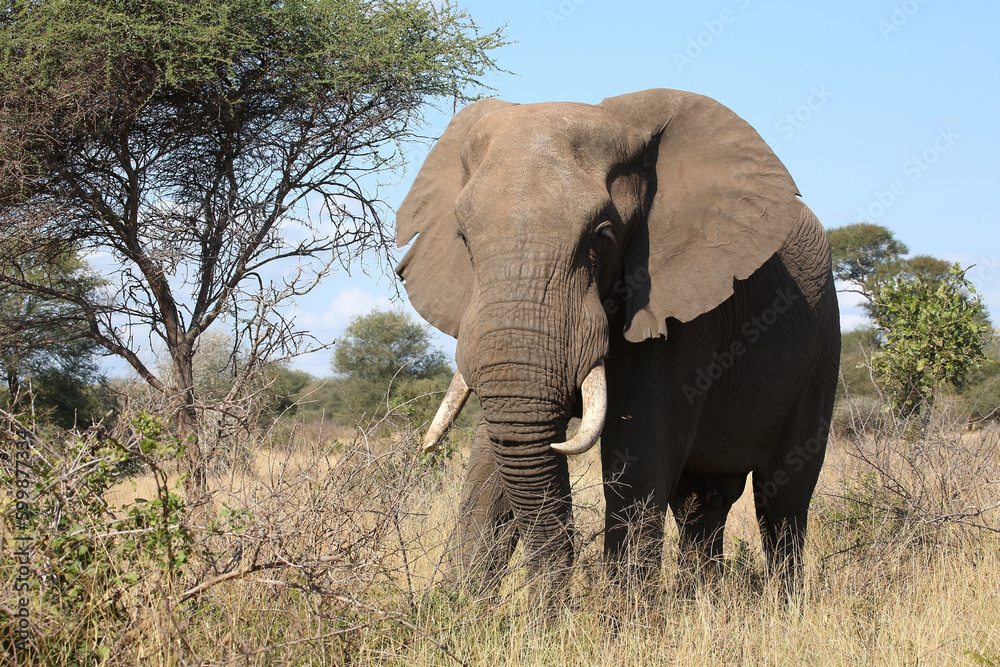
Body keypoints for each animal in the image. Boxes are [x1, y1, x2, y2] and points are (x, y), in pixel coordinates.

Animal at [394, 88, 840, 596]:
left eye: (603, 235)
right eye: (463, 239)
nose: (548, 608)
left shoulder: (680, 305)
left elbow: (639, 451)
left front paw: (620, 616)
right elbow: (493, 457)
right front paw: (458, 607)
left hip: (821, 343)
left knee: (782, 498)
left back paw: (785, 604)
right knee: (701, 498)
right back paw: (703, 599)